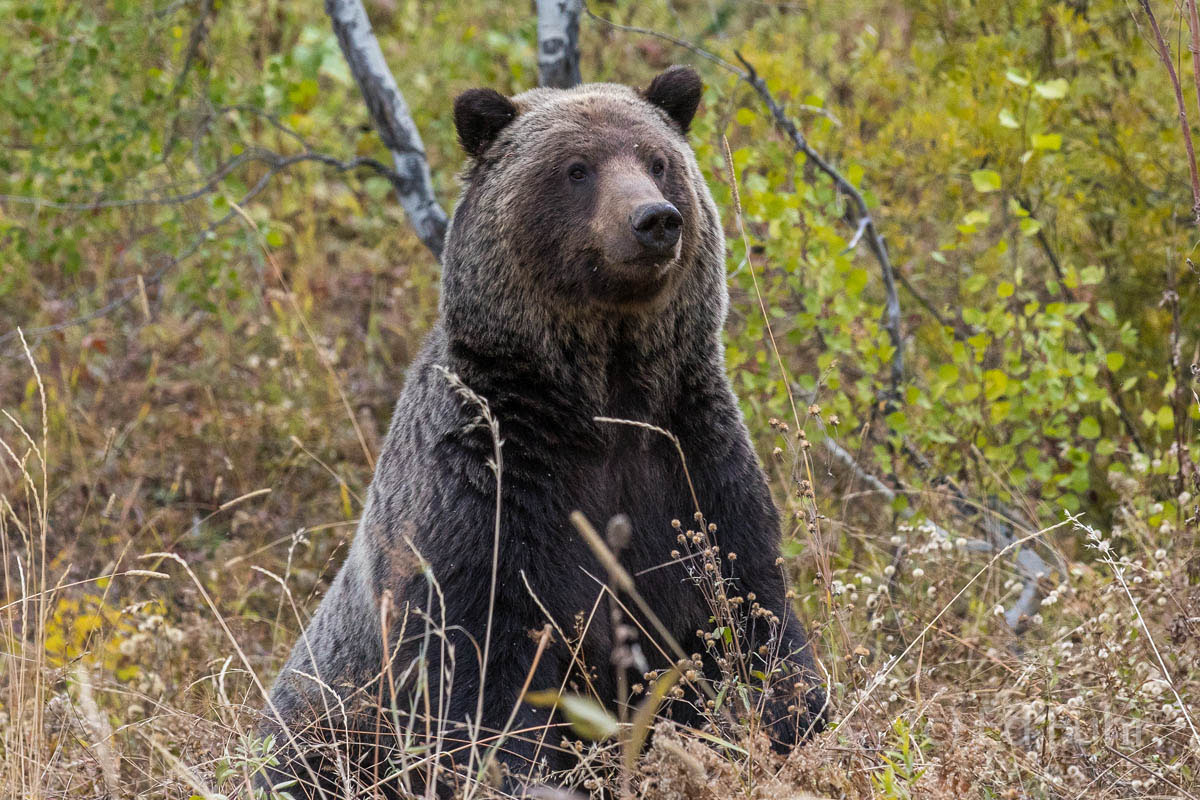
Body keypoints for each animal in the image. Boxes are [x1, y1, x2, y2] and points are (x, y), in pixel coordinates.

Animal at [261, 65, 825, 796]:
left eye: (658, 161)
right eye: (576, 168)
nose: (653, 220)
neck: (602, 397)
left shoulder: (692, 460)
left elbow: (752, 614)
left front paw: (779, 722)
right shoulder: (489, 490)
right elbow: (483, 678)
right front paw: (523, 771)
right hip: (318, 718)